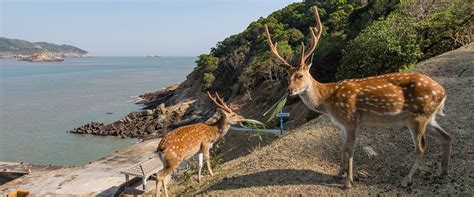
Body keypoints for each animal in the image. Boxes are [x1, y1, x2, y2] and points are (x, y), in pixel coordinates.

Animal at [264, 5, 454, 188]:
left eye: (300, 75)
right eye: (287, 76)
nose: (290, 91)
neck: (328, 101)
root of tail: (443, 92)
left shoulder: (351, 120)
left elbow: (350, 150)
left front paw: (348, 181)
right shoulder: (341, 124)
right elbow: (342, 148)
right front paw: (338, 174)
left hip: (417, 116)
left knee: (421, 147)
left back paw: (406, 179)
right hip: (428, 117)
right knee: (447, 136)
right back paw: (443, 172)